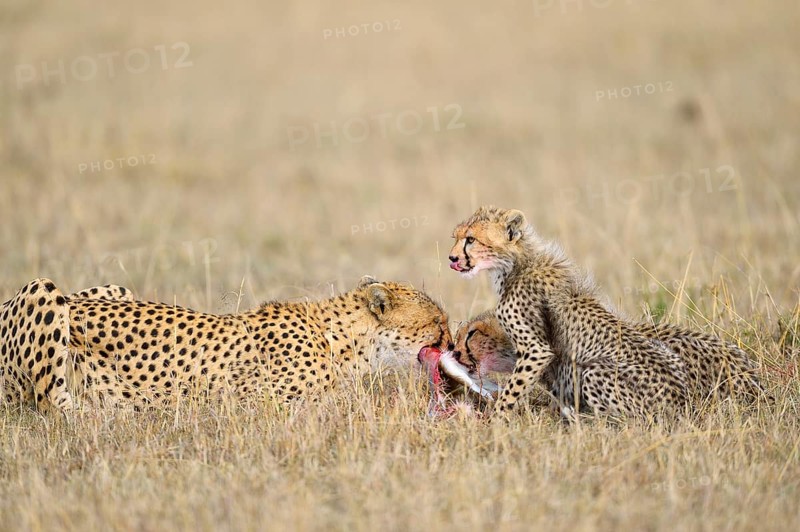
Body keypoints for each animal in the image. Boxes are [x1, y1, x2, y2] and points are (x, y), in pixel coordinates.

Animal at [0, 275, 452, 413]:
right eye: (437, 322)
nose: (451, 342)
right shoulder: (259, 402)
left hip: (114, 289)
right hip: (44, 291)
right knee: (51, 406)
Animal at [448, 206, 690, 420]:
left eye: (471, 239)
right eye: (456, 237)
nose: (452, 258)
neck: (516, 263)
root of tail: (683, 402)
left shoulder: (536, 350)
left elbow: (513, 390)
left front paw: (494, 421)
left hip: (594, 373)